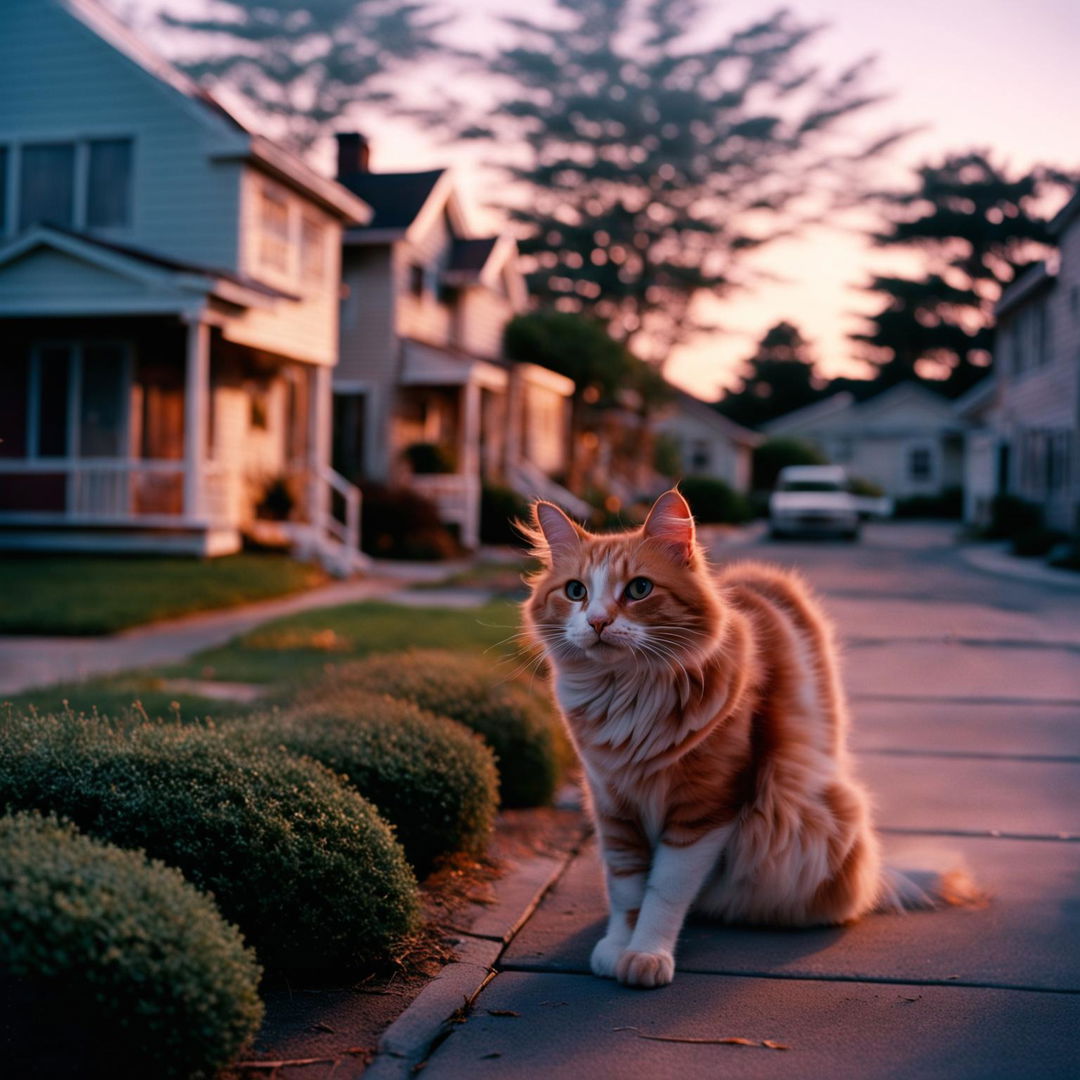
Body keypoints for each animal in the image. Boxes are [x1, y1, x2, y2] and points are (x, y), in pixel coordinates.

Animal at [522, 490, 937, 989]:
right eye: (576, 592)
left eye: (639, 589)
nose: (598, 621)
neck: (626, 697)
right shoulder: (611, 804)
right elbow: (626, 888)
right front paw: (618, 947)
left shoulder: (704, 806)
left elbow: (663, 891)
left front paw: (646, 954)